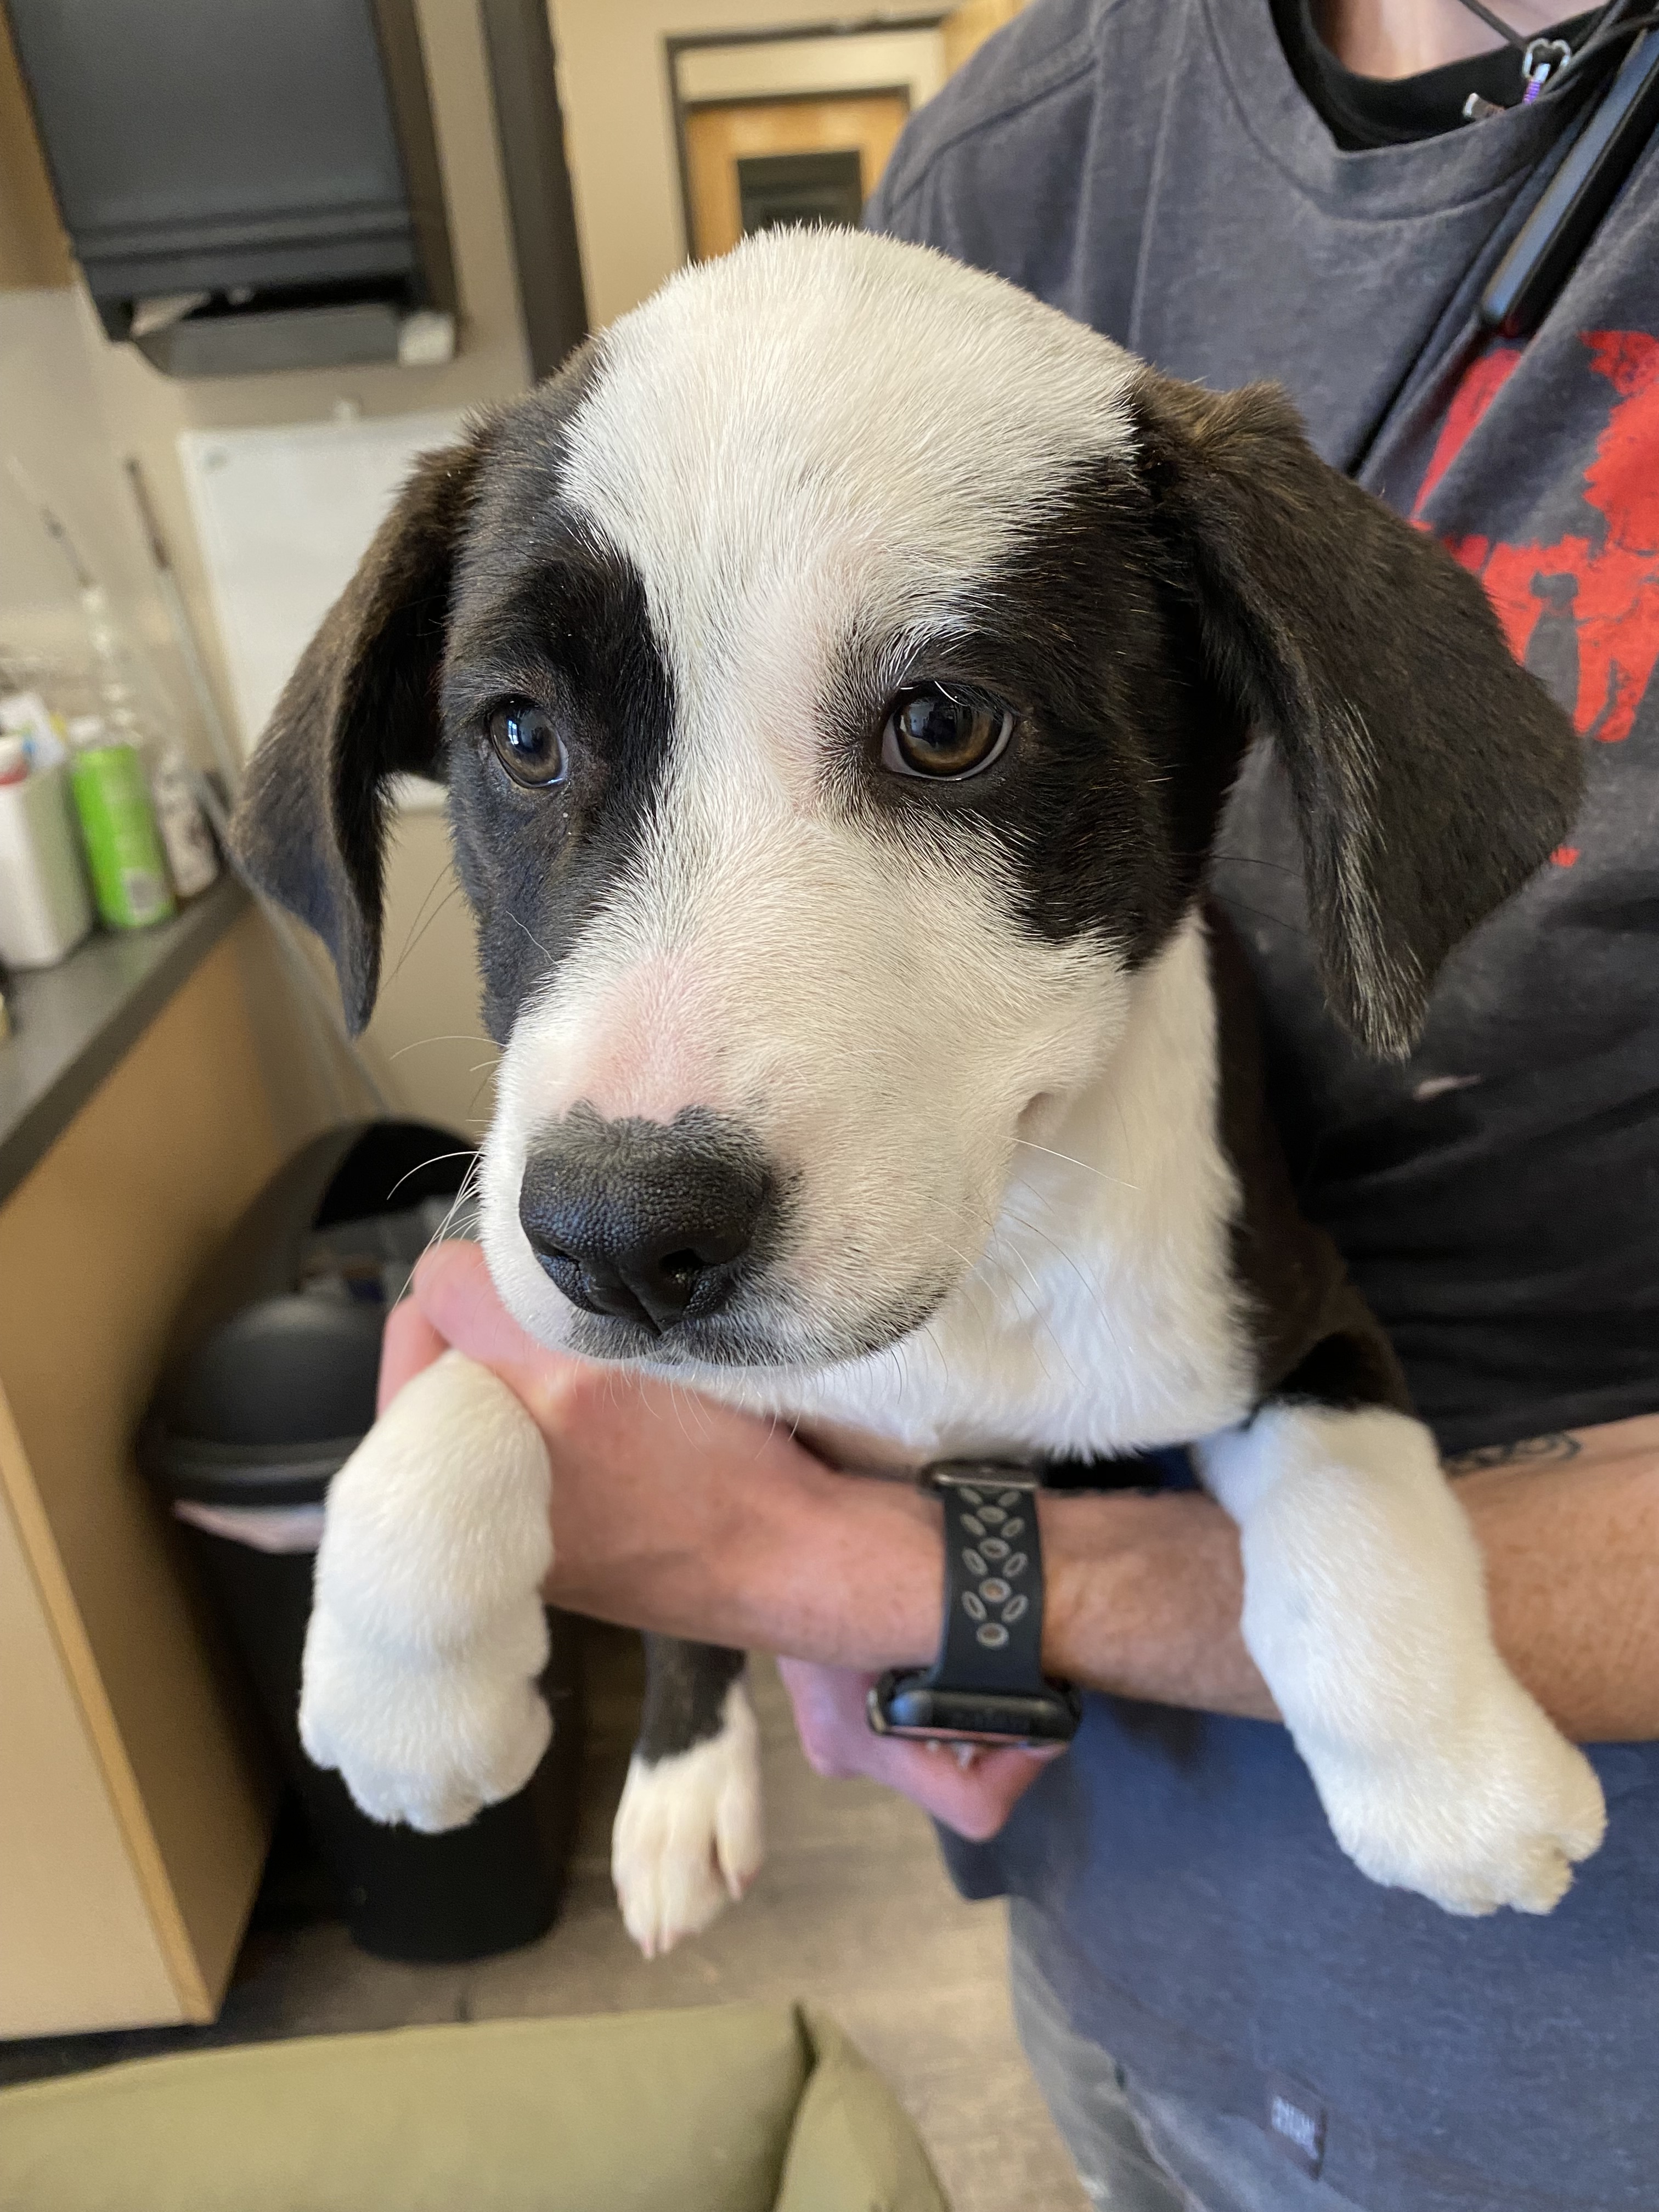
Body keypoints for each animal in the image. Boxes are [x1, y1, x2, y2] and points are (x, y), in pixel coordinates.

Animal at [234, 224, 1610, 1955]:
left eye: (948, 725)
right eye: (521, 735)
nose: (621, 1238)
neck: (967, 1284)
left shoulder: (1291, 1305)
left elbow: (1354, 1482)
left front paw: (1456, 1770)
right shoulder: (506, 1234)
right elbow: (471, 1370)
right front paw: (405, 1679)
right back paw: (677, 1786)